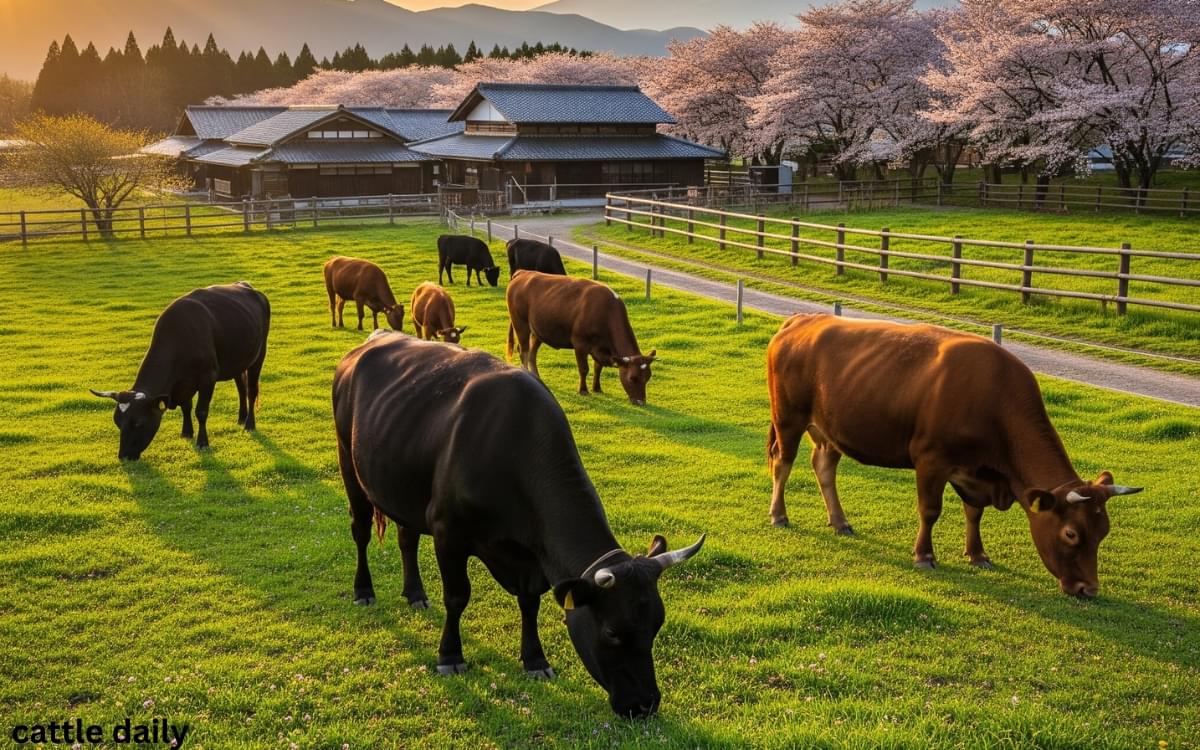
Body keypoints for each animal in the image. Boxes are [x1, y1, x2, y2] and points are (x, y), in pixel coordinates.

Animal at [90, 281, 270, 460]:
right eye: (117, 421)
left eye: (139, 423)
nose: (124, 456)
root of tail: (247, 286)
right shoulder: (183, 383)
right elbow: (186, 407)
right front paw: (186, 432)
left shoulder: (208, 378)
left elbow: (201, 411)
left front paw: (202, 442)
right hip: (239, 361)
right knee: (241, 387)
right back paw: (241, 417)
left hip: (259, 355)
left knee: (251, 390)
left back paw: (249, 423)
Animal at [333, 331, 703, 717]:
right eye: (613, 633)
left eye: (656, 626)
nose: (645, 704)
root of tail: (372, 340)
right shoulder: (448, 532)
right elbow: (457, 596)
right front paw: (450, 655)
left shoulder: (531, 558)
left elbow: (529, 603)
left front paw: (535, 660)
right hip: (349, 464)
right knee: (361, 532)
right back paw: (364, 590)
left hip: (404, 488)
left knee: (407, 537)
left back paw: (416, 594)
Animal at [506, 271, 657, 405]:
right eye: (633, 378)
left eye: (648, 377)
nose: (641, 402)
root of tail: (523, 273)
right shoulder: (580, 344)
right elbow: (584, 369)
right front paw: (583, 390)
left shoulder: (600, 347)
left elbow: (598, 367)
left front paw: (597, 388)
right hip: (520, 323)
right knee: (524, 351)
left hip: (538, 330)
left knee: (532, 353)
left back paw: (537, 377)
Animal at [765, 314, 1142, 598]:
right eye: (1071, 534)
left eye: (1103, 532)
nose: (1088, 589)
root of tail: (803, 319)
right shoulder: (931, 460)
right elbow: (930, 510)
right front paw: (924, 555)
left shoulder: (974, 471)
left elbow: (974, 513)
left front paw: (977, 554)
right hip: (788, 418)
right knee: (783, 463)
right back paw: (779, 515)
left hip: (830, 430)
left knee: (823, 467)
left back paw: (840, 521)